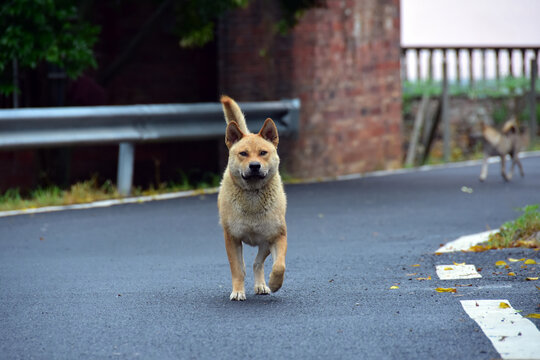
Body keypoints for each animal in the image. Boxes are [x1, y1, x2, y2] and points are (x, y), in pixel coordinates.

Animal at [218, 95, 288, 300]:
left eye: (263, 152)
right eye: (243, 153)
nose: (255, 166)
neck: (253, 194)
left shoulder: (278, 235)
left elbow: (279, 265)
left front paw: (275, 283)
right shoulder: (232, 238)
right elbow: (237, 269)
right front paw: (238, 291)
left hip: (264, 243)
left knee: (258, 263)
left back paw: (262, 285)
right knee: (245, 266)